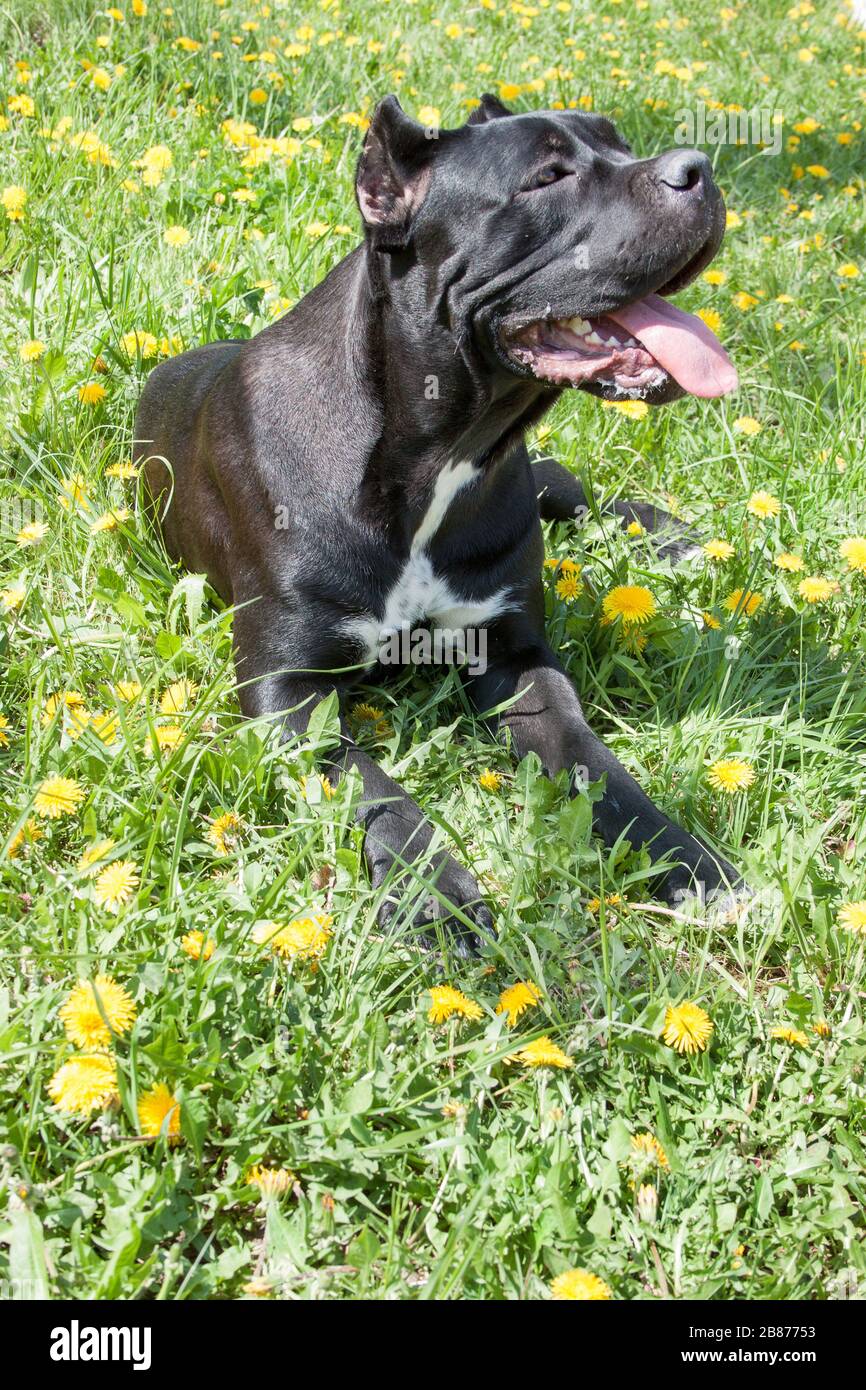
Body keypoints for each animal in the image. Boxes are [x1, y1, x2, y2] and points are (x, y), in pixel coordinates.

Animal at [134, 95, 739, 945]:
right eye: (546, 177)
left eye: (619, 143)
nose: (699, 168)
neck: (441, 453)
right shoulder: (285, 689)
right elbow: (372, 786)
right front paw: (436, 892)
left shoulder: (517, 655)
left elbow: (591, 758)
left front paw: (682, 855)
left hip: (544, 490)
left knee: (575, 492)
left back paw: (672, 537)